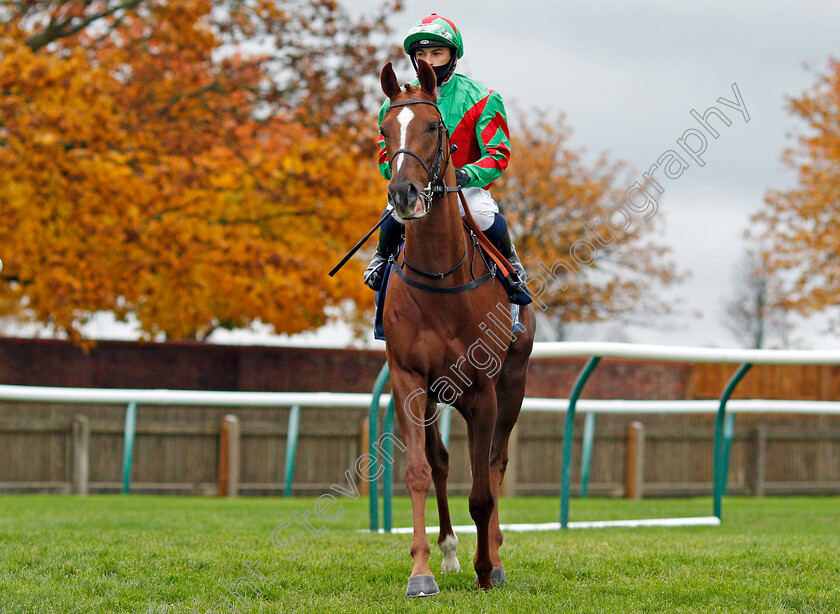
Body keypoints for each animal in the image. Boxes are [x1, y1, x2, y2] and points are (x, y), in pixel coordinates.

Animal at [378, 60, 536, 600]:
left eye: (433, 126)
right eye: (384, 131)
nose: (403, 194)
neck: (439, 277)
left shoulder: (484, 388)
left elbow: (484, 488)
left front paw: (486, 568)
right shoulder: (408, 378)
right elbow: (420, 471)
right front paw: (421, 571)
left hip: (513, 383)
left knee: (496, 462)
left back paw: (496, 559)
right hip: (436, 393)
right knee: (442, 460)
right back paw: (448, 553)